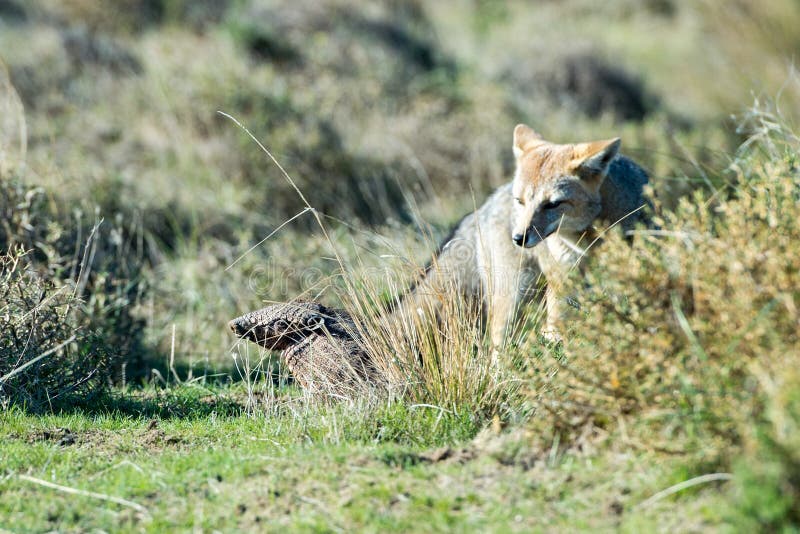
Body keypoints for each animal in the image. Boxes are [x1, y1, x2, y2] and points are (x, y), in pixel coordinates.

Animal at [395, 123, 649, 348]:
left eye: (552, 204)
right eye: (521, 201)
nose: (518, 238)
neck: (589, 243)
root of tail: (489, 201)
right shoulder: (562, 280)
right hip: (513, 296)